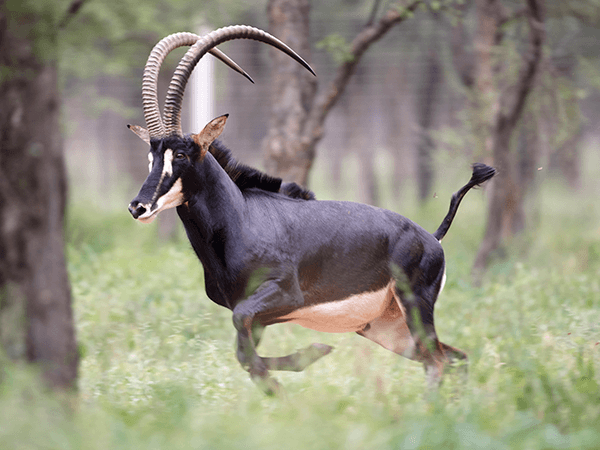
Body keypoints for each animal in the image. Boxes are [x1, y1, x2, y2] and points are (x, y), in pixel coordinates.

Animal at [127, 26, 496, 396]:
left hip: (414, 308)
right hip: (385, 329)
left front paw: (286, 377)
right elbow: (244, 352)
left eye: (181, 154)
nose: (138, 206)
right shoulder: (257, 317)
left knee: (438, 361)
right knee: (455, 358)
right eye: (151, 155)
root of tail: (431, 238)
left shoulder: (282, 295)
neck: (240, 218)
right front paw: (303, 361)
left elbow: (244, 341)